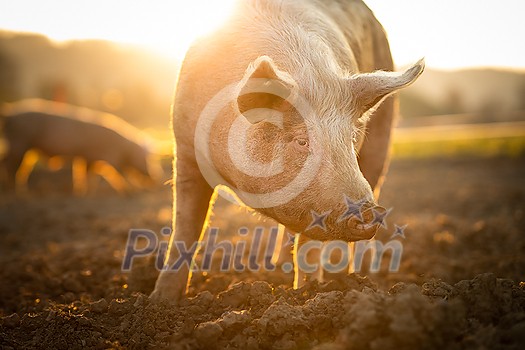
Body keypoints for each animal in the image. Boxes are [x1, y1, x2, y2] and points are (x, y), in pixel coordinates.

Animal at [149, 0, 424, 300]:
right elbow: (186, 228)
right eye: (301, 141)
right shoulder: (186, 149)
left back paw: (358, 279)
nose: (369, 212)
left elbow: (310, 246)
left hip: (382, 140)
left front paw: (308, 294)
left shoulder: (316, 202)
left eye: (351, 138)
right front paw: (161, 300)